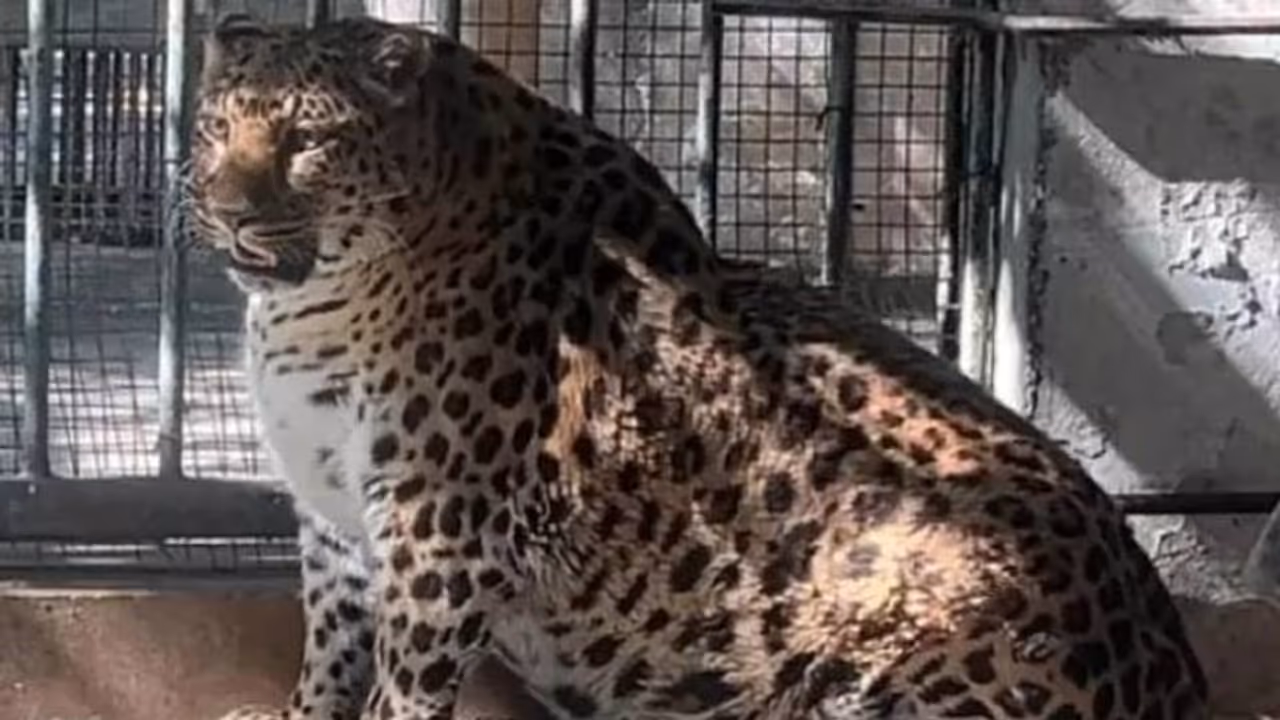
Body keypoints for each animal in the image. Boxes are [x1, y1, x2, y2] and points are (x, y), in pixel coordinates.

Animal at [190, 13, 1209, 720]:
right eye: (213, 131)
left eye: (307, 142)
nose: (228, 209)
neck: (313, 306)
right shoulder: (335, 521)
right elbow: (330, 652)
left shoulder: (437, 533)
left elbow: (402, 686)